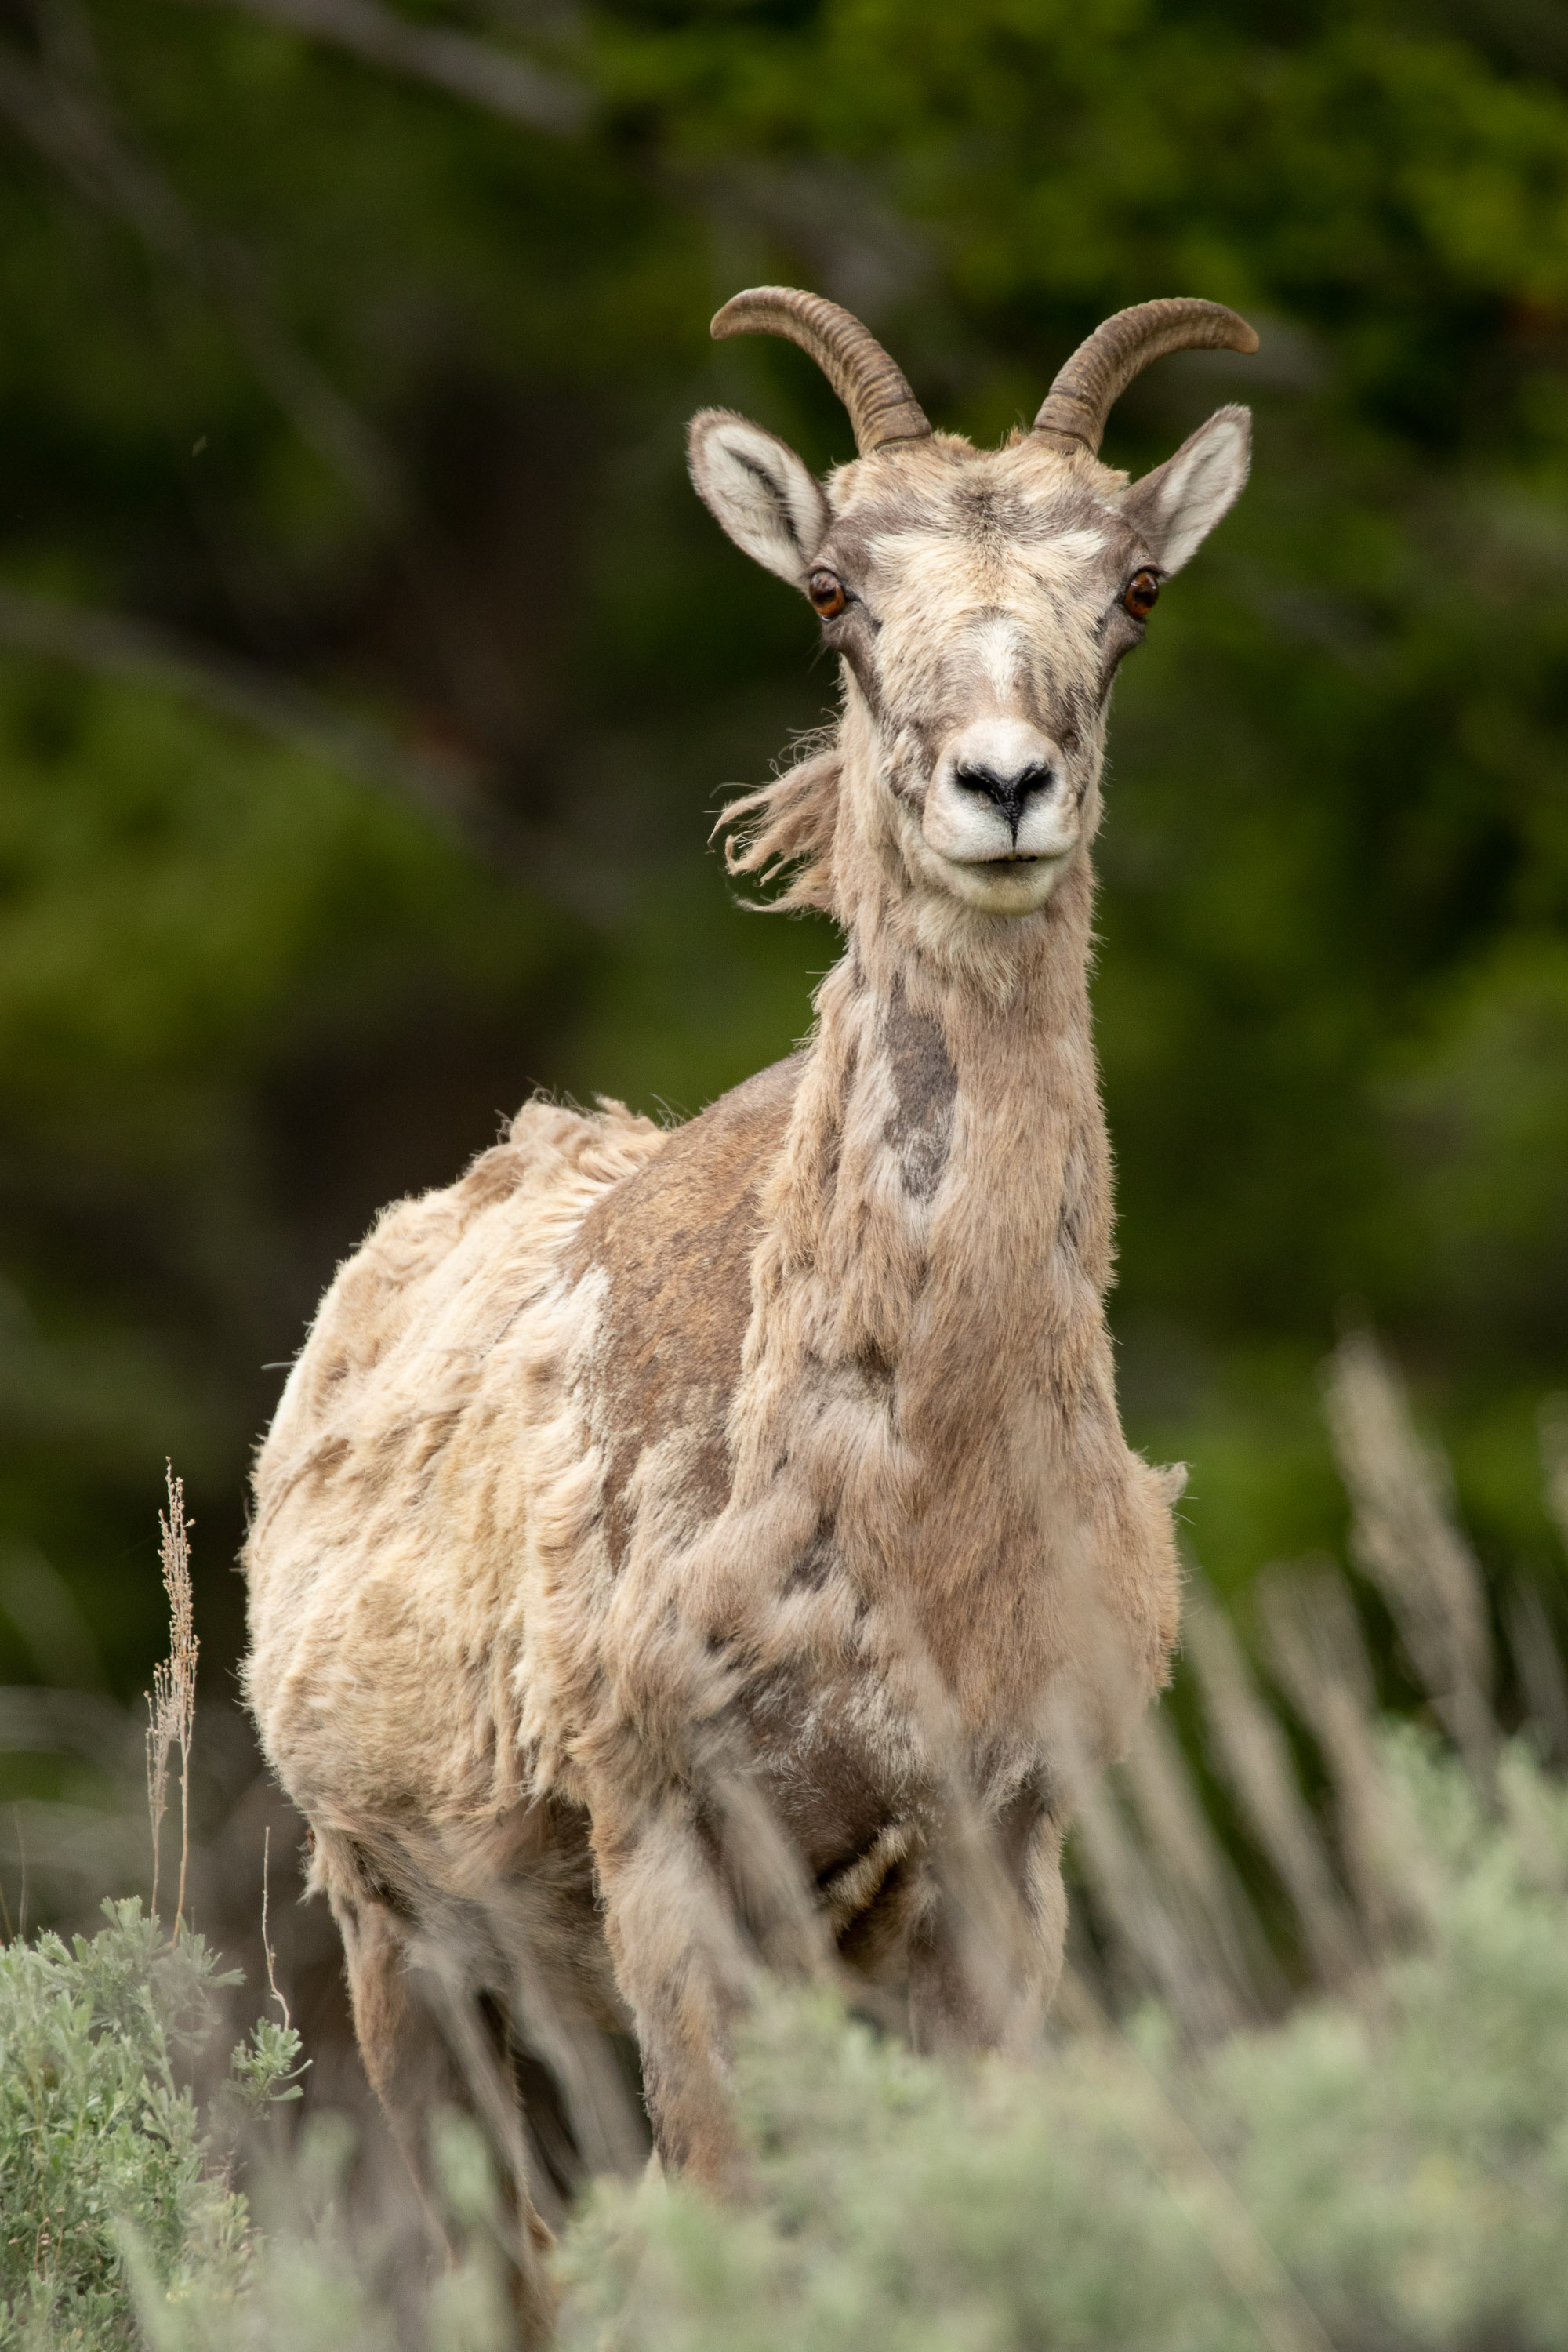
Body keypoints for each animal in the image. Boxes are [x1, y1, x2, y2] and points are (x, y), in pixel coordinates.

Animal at [241, 289, 1250, 2258]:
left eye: (1135, 588)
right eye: (834, 593)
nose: (1001, 787)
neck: (898, 1526)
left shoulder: (991, 1858)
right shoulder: (671, 1848)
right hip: (410, 1952)